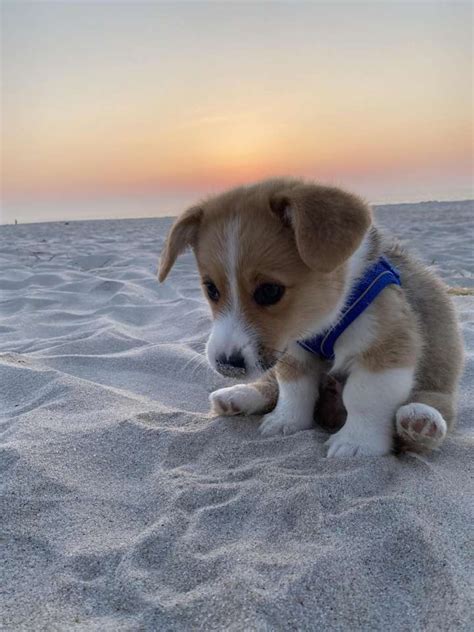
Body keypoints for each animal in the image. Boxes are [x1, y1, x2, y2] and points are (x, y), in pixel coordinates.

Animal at [158, 180, 462, 456]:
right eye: (211, 289)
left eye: (269, 291)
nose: (227, 365)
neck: (323, 321)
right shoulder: (292, 349)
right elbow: (294, 389)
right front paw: (286, 421)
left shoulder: (386, 346)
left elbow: (364, 397)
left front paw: (357, 442)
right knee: (271, 385)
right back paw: (238, 396)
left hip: (438, 382)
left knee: (436, 405)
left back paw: (421, 421)